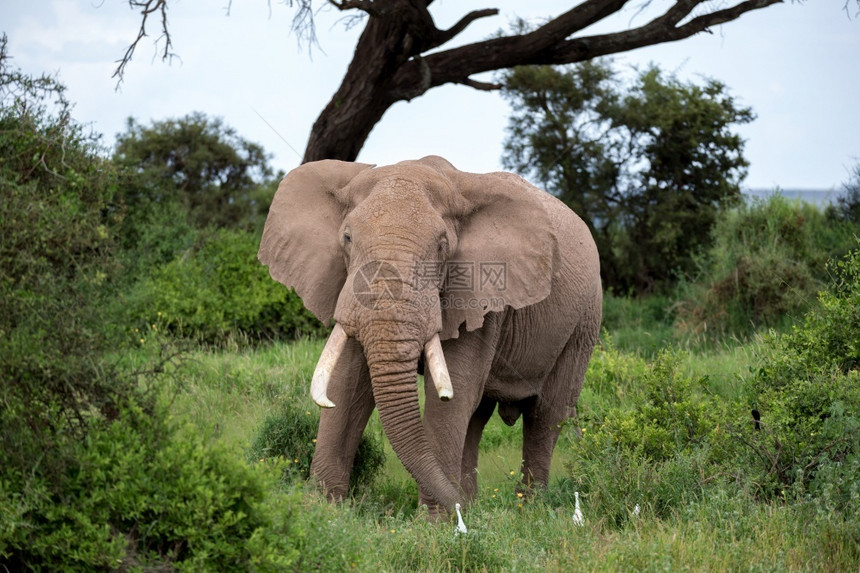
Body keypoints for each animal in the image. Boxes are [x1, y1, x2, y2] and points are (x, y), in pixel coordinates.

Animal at [258, 155, 600, 512]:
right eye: (347, 238)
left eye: (442, 246)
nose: (463, 513)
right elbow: (347, 383)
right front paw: (325, 511)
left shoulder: (481, 298)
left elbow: (451, 395)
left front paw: (435, 520)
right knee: (478, 416)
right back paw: (474, 499)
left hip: (584, 321)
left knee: (546, 415)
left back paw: (527, 507)